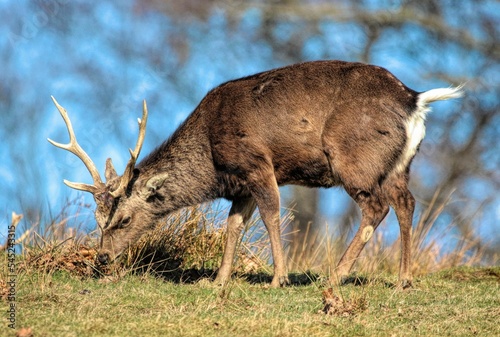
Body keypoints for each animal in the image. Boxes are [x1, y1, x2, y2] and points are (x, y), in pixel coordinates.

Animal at [48, 59, 462, 286]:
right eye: (97, 219)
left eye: (123, 219)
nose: (102, 256)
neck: (211, 161)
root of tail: (414, 100)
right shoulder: (241, 185)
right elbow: (234, 225)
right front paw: (217, 280)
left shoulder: (257, 163)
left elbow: (271, 215)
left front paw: (278, 278)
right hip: (397, 165)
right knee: (406, 203)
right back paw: (403, 279)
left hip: (353, 156)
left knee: (377, 208)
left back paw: (336, 275)